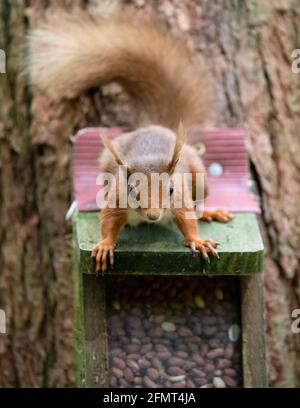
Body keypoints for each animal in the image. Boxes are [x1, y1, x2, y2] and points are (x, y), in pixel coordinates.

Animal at [28, 9, 233, 272]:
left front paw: (198, 241)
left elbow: (188, 220)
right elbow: (108, 221)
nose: (154, 216)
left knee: (200, 199)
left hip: (200, 177)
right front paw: (105, 245)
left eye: (170, 189)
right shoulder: (116, 197)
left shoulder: (180, 198)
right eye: (132, 190)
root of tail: (154, 127)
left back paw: (210, 212)